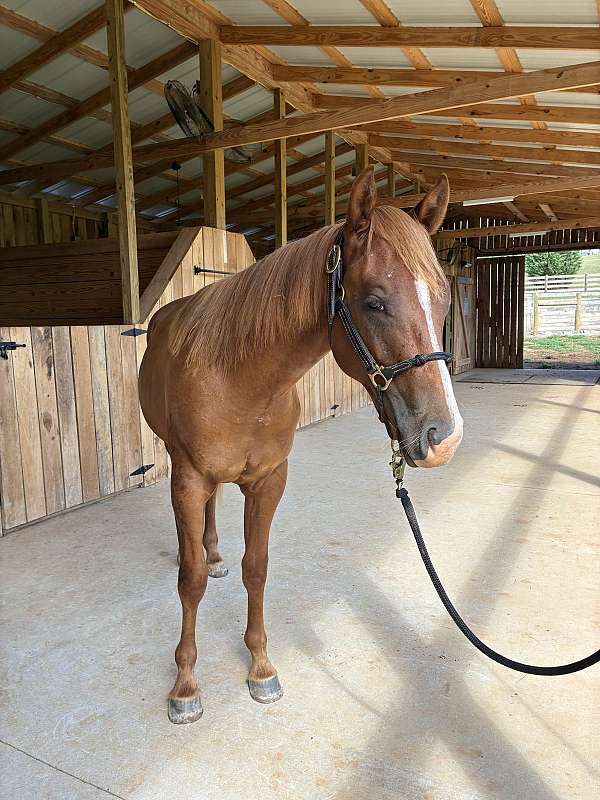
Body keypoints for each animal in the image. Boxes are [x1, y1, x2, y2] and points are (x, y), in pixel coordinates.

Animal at [138, 166, 463, 724]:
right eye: (375, 301)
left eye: (442, 297)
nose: (442, 436)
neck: (238, 379)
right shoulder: (188, 478)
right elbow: (190, 580)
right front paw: (185, 686)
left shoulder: (269, 480)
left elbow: (257, 569)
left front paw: (260, 668)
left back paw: (215, 551)